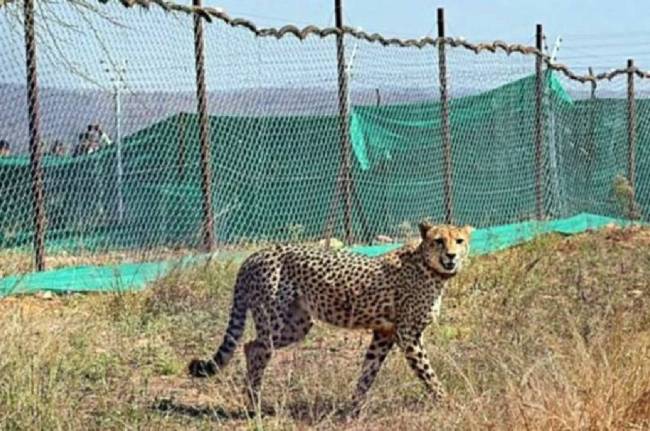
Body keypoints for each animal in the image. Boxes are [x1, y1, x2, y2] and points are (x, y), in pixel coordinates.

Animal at [188, 221, 473, 413]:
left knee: (250, 345)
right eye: (439, 240)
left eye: (459, 241)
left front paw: (353, 409)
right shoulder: (409, 336)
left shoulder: (384, 333)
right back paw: (255, 404)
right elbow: (428, 374)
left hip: (297, 325)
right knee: (257, 349)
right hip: (274, 320)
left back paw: (252, 400)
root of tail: (255, 255)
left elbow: (368, 372)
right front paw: (449, 402)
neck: (429, 267)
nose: (451, 256)